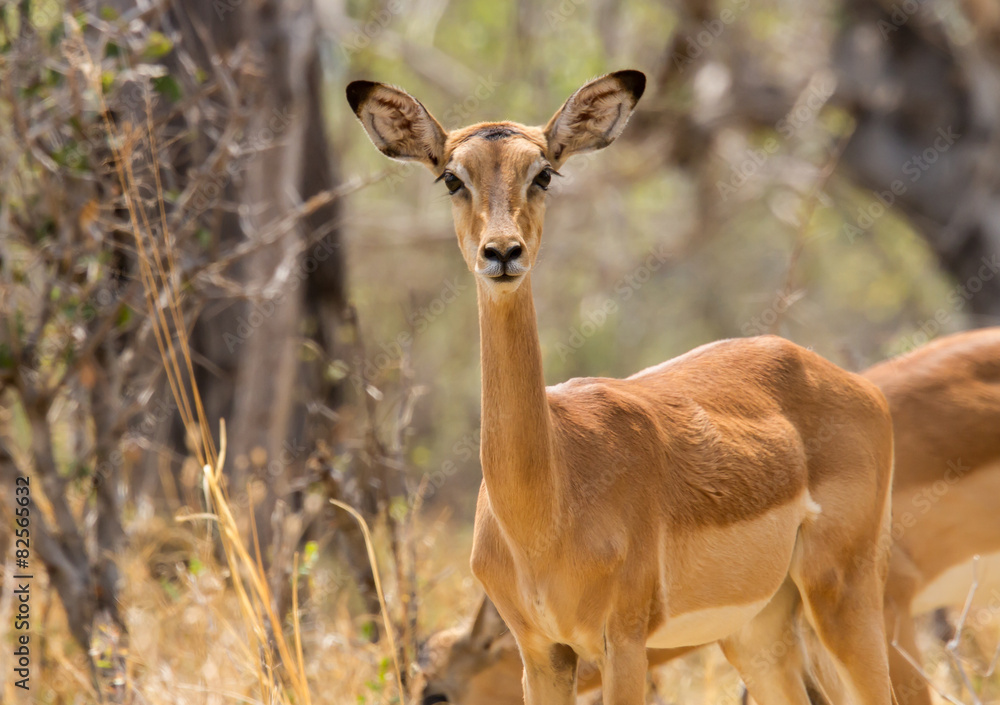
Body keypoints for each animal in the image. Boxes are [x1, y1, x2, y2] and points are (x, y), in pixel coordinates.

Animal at [347, 71, 895, 705]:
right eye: (452, 178)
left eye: (544, 173)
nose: (502, 253)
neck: (546, 508)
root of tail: (856, 387)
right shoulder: (541, 654)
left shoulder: (624, 643)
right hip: (759, 632)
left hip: (843, 594)